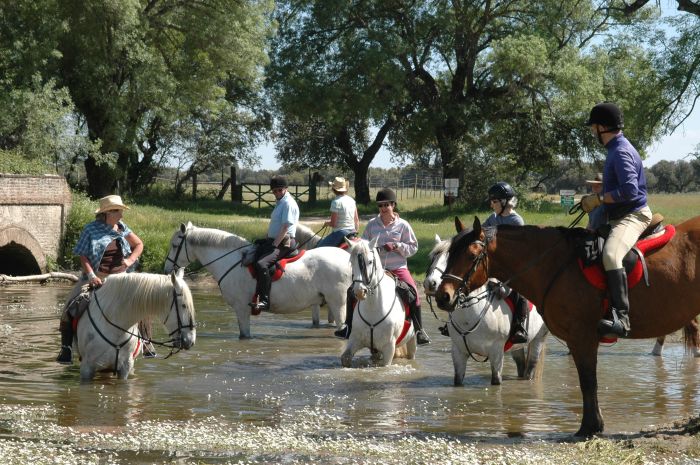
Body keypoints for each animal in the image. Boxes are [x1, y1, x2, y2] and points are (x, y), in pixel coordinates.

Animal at [163, 221, 350, 338]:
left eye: (174, 246)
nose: (167, 269)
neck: (231, 261)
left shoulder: (241, 308)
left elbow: (244, 335)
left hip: (338, 303)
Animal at [342, 237, 418, 368]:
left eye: (370, 262)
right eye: (352, 262)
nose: (359, 292)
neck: (373, 307)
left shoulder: (389, 348)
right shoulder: (355, 339)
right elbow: (345, 358)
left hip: (412, 341)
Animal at [426, 236, 548, 384]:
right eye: (433, 258)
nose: (430, 284)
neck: (470, 316)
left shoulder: (496, 353)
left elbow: (496, 381)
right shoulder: (458, 352)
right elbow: (458, 380)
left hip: (539, 338)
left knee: (529, 369)